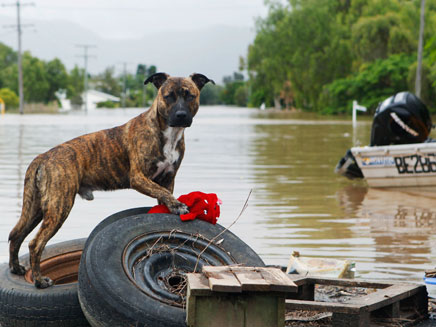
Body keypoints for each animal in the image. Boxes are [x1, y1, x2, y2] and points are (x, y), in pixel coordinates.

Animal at [8, 73, 215, 288]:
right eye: (169, 96)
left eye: (190, 96)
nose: (181, 115)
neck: (167, 133)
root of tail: (43, 157)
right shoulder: (139, 178)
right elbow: (164, 193)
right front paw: (178, 205)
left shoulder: (168, 178)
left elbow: (164, 195)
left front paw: (171, 207)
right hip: (59, 206)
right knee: (35, 243)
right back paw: (40, 281)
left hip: (36, 209)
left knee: (16, 234)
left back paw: (16, 268)